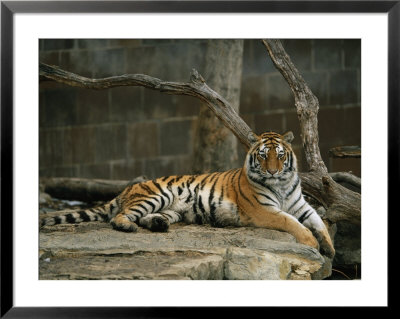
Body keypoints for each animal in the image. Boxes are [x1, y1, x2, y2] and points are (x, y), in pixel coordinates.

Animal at [39, 131, 334, 258]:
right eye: (263, 156)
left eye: (280, 156)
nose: (272, 171)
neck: (282, 184)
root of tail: (127, 188)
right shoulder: (264, 210)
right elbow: (291, 222)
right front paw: (312, 243)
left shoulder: (301, 205)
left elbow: (319, 221)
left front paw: (329, 247)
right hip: (154, 195)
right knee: (120, 216)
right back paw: (127, 226)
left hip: (172, 208)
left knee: (146, 217)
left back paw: (158, 224)